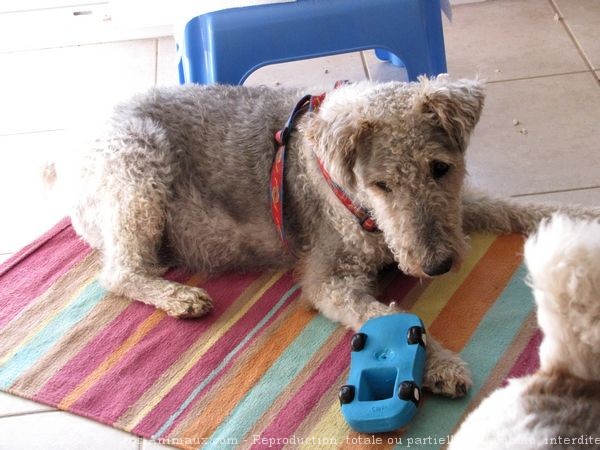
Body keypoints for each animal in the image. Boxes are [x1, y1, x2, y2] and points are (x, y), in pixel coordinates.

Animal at [55, 76, 596, 398]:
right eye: (381, 185)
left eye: (440, 168)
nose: (437, 265)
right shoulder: (330, 280)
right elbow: (385, 315)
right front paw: (442, 364)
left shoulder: (465, 204)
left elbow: (517, 207)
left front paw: (581, 215)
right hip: (139, 172)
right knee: (120, 272)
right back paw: (182, 297)